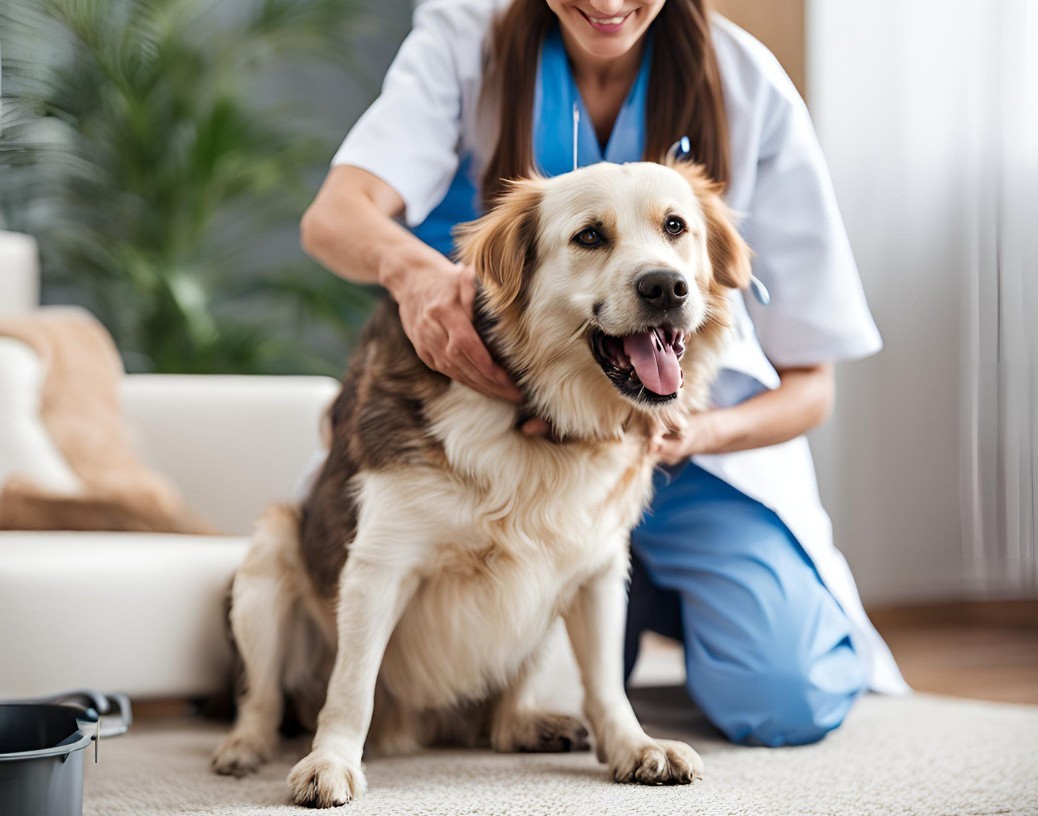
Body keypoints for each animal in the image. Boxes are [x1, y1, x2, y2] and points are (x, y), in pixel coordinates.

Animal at [208, 157, 747, 801]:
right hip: (269, 553)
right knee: (262, 695)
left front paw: (634, 746)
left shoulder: (597, 567)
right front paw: (331, 760)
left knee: (502, 720)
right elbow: (352, 687)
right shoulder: (379, 563)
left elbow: (607, 684)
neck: (543, 422)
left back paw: (532, 724)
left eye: (675, 226)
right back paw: (245, 746)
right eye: (590, 235)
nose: (666, 287)